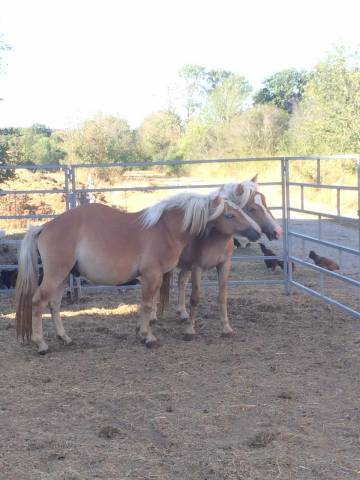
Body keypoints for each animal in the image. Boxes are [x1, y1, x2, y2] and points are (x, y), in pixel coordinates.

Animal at [16, 191, 262, 352]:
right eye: (230, 215)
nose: (257, 232)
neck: (166, 229)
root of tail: (45, 227)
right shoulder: (151, 276)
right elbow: (147, 306)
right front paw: (148, 337)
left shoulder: (154, 278)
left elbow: (147, 305)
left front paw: (144, 333)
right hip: (56, 275)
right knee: (38, 301)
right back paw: (41, 344)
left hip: (63, 276)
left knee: (55, 304)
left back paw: (65, 337)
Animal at [162, 177, 282, 342]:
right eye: (252, 208)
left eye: (264, 201)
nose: (278, 231)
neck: (214, 235)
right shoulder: (197, 268)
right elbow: (195, 298)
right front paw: (190, 330)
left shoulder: (224, 265)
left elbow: (222, 296)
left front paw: (226, 329)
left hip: (185, 265)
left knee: (181, 281)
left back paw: (182, 313)